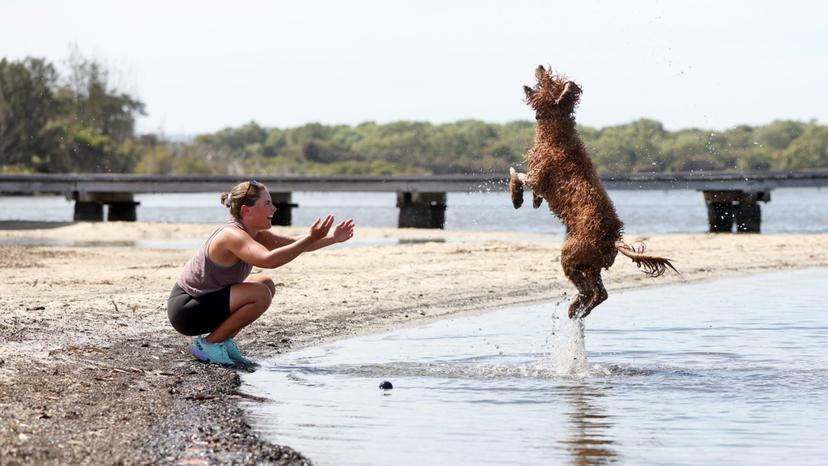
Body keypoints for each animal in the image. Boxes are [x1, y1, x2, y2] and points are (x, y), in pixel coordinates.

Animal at [512, 66, 680, 320]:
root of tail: (613, 238)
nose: (540, 67)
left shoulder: (537, 175)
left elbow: (516, 175)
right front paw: (533, 201)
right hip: (593, 265)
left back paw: (575, 307)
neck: (556, 129)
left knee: (588, 289)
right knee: (601, 293)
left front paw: (517, 196)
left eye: (549, 80)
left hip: (571, 256)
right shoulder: (538, 178)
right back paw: (579, 309)